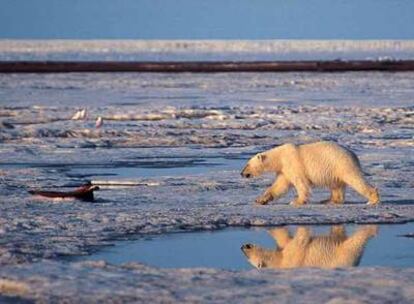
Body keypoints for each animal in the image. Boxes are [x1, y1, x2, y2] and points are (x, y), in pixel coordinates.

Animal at [239, 223, 378, 268]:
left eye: (249, 258)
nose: (243, 247)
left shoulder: (292, 257)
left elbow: (298, 242)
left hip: (343, 255)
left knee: (353, 244)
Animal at [241, 141, 380, 205]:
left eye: (247, 164)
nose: (242, 173)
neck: (280, 157)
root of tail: (353, 154)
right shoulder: (284, 170)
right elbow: (279, 186)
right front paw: (260, 200)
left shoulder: (293, 164)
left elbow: (301, 183)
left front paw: (296, 201)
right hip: (335, 169)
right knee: (336, 185)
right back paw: (329, 200)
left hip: (342, 164)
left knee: (355, 179)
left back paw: (372, 200)